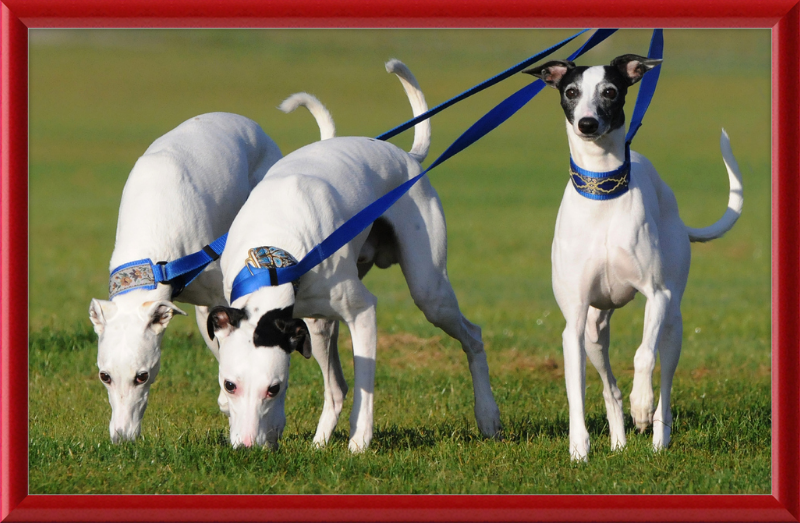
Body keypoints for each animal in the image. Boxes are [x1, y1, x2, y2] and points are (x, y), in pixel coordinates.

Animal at [209, 59, 504, 452]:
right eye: (230, 384)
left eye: (275, 388)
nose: (246, 447)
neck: (272, 258)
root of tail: (408, 157)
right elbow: (340, 386)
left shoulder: (363, 312)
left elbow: (365, 383)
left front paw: (359, 443)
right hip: (319, 327)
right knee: (336, 388)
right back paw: (319, 442)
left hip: (431, 293)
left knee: (472, 336)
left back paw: (487, 415)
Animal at [524, 55, 744, 460]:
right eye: (571, 92)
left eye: (610, 91)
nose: (587, 124)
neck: (602, 192)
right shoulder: (574, 321)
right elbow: (576, 389)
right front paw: (579, 448)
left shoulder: (656, 296)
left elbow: (643, 354)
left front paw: (641, 405)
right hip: (595, 331)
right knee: (609, 386)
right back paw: (619, 442)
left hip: (673, 323)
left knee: (665, 379)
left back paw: (657, 437)